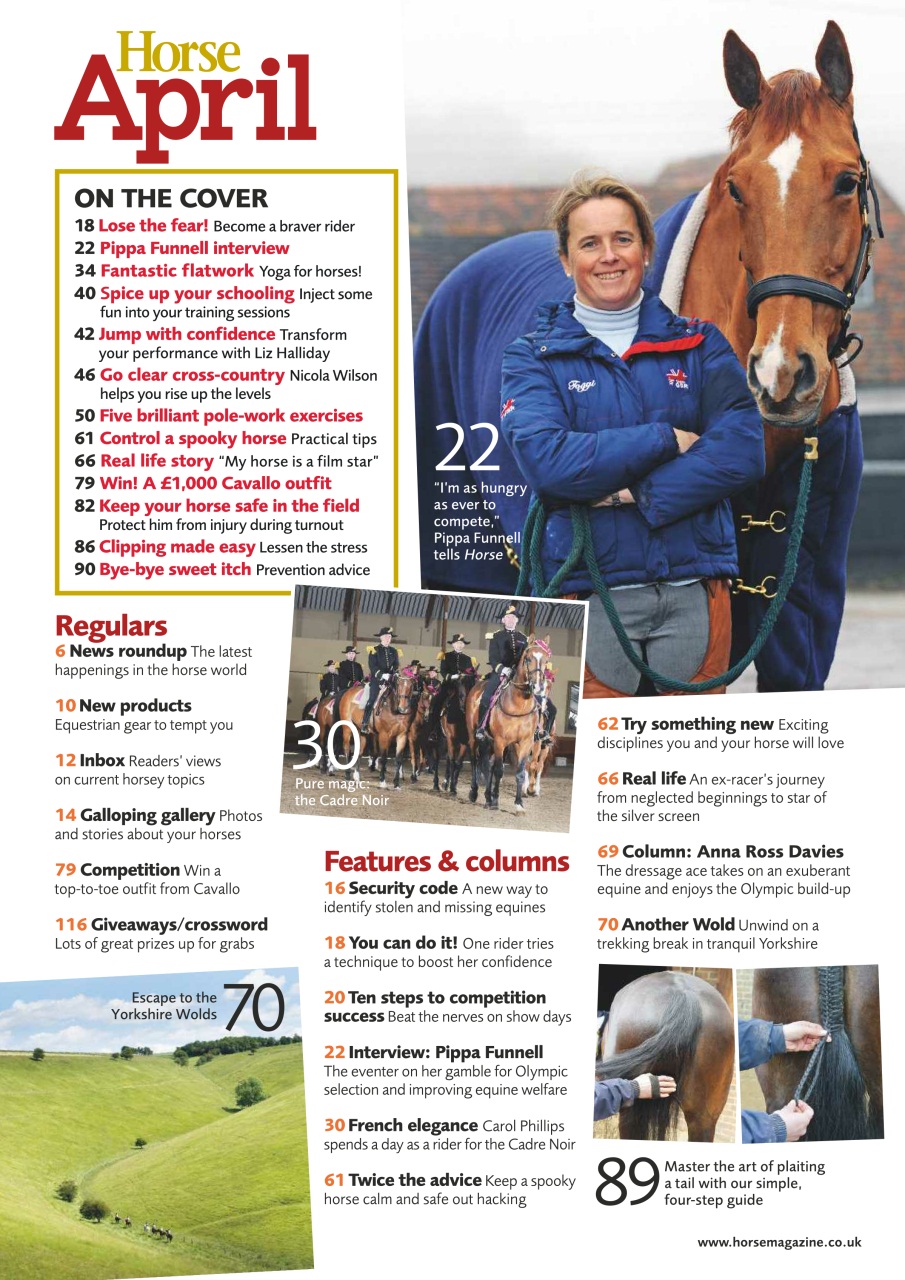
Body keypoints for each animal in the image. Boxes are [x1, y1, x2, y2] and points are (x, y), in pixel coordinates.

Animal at [465, 637, 550, 812]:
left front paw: (518, 804)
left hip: (489, 743)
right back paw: (475, 793)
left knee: (487, 765)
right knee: (476, 761)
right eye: (528, 658)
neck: (519, 704)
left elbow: (520, 772)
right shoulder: (500, 741)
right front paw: (496, 801)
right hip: (474, 736)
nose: (538, 687)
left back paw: (487, 797)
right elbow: (499, 771)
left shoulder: (525, 743)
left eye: (546, 660)